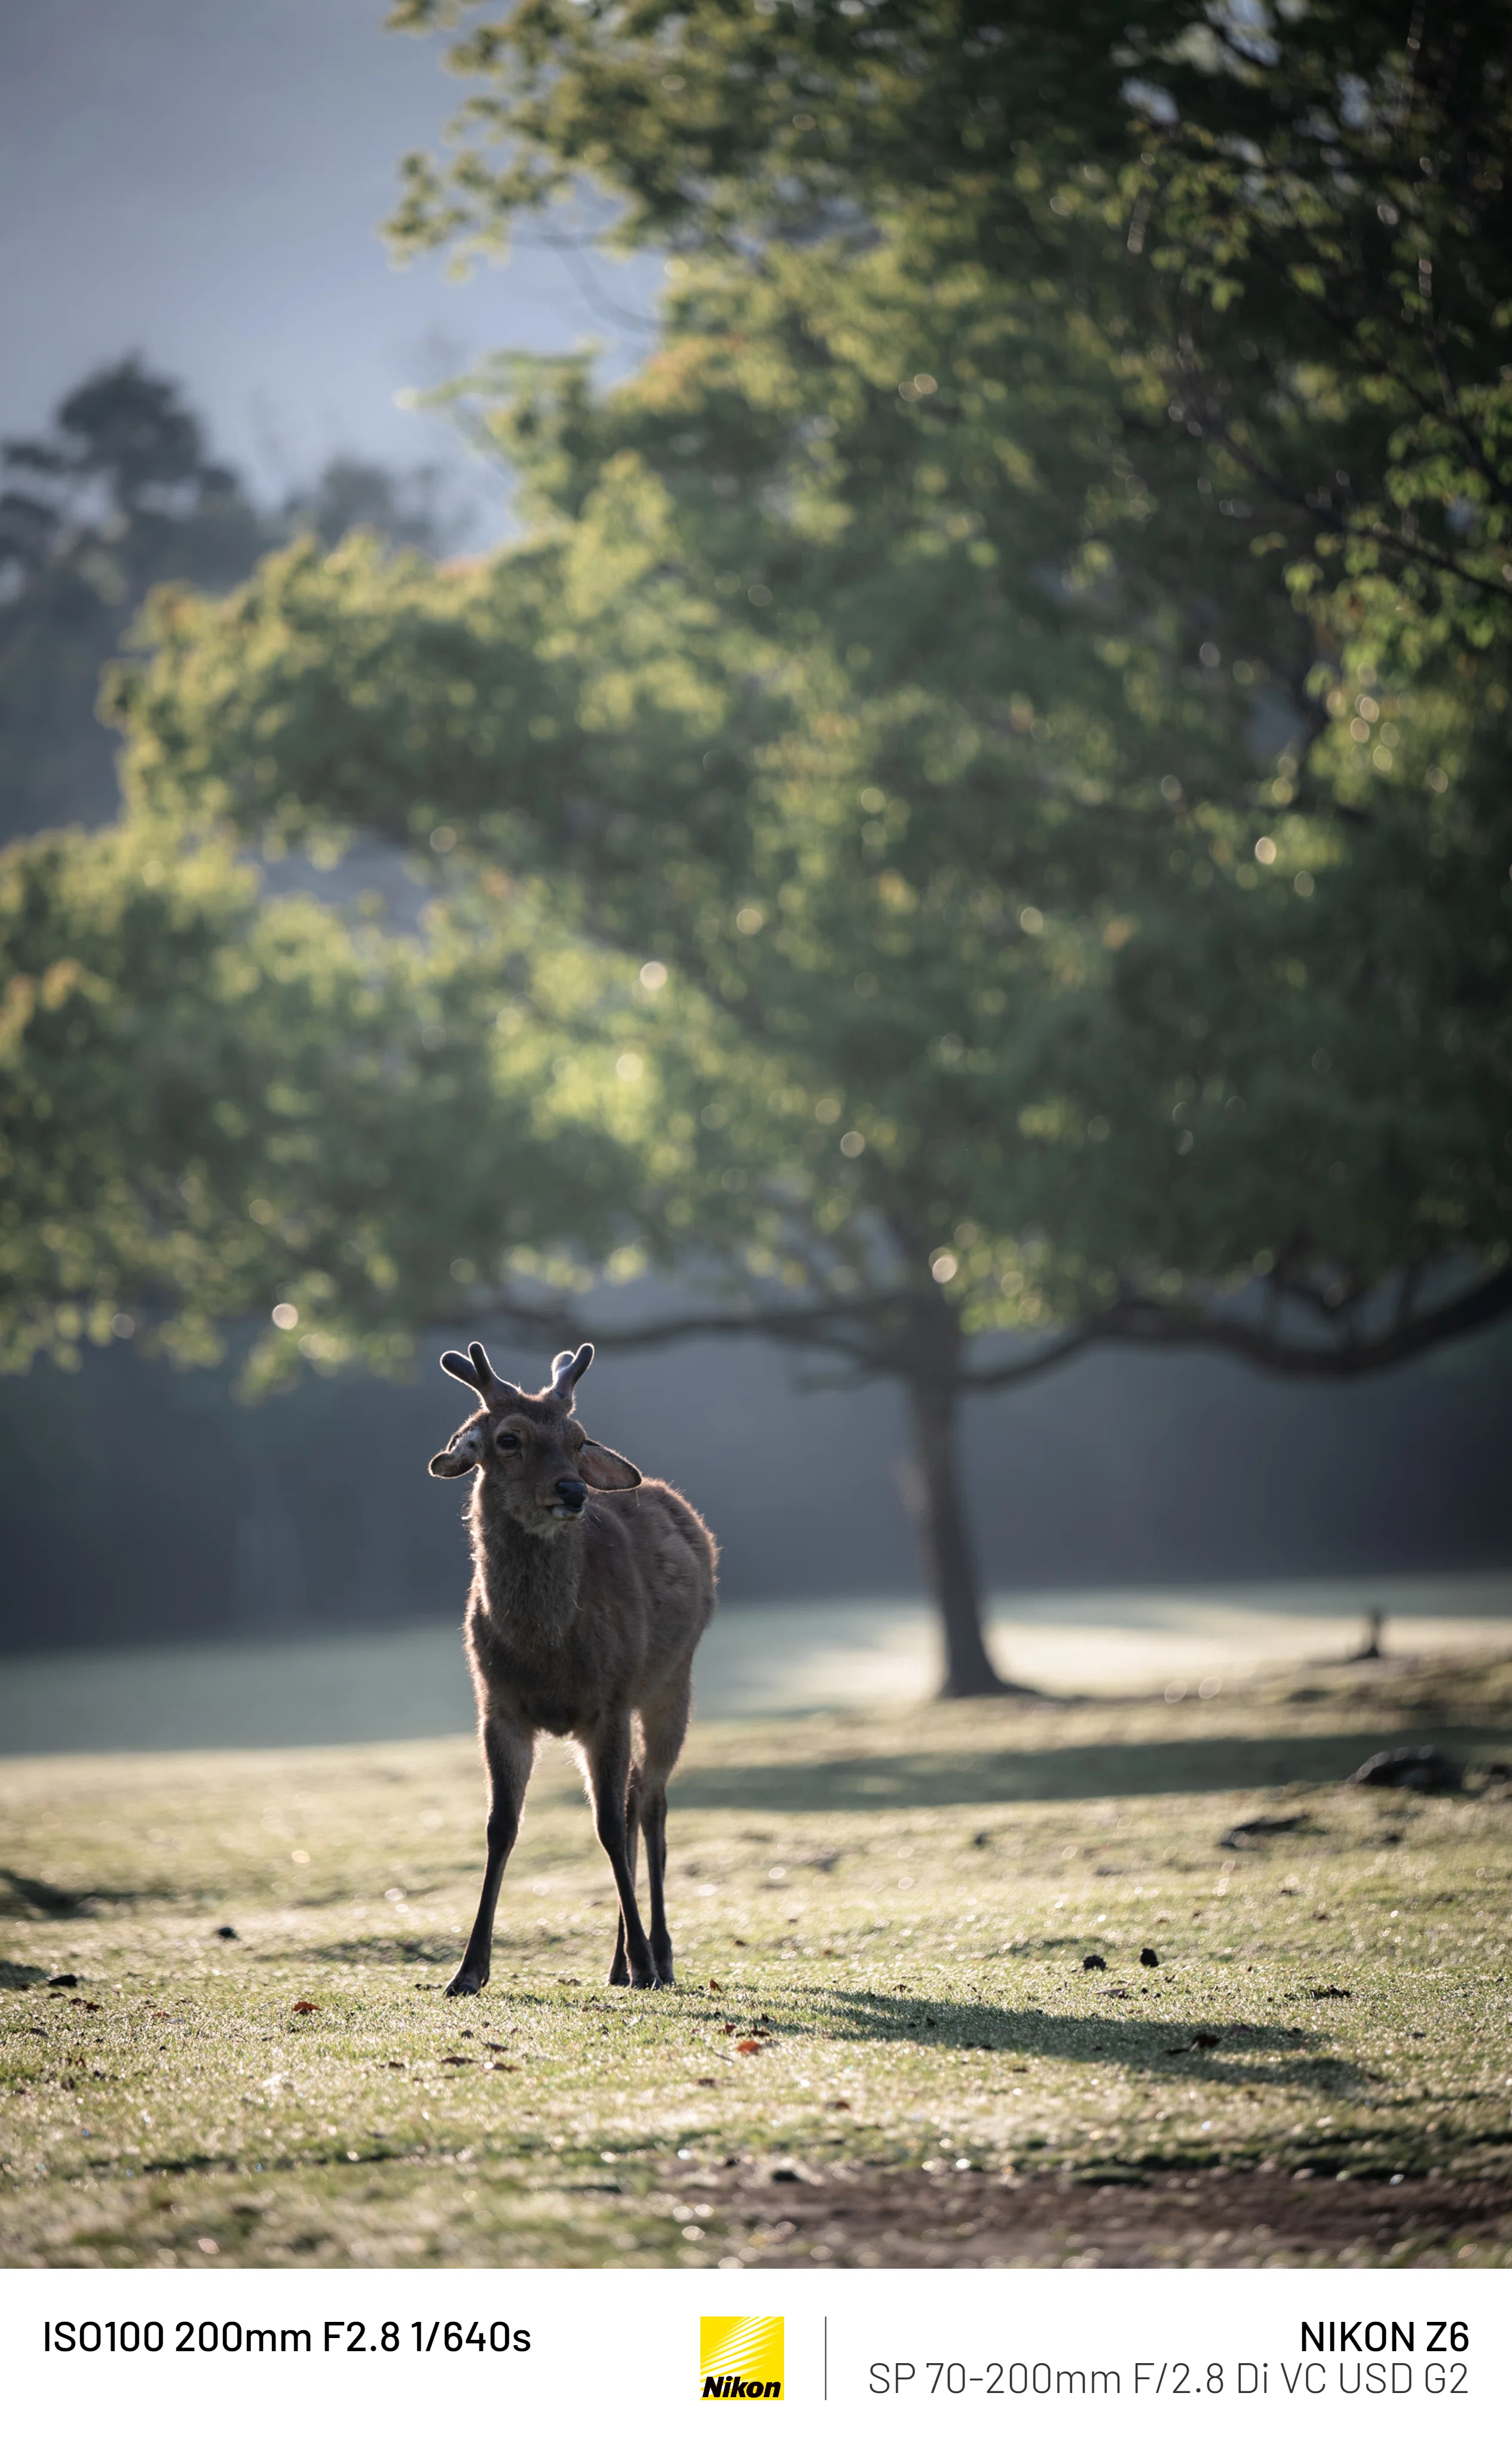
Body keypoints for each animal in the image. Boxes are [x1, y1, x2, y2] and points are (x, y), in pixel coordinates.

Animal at [427, 1338, 717, 1995]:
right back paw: (619, 1964)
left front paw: (645, 1961)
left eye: (579, 1439)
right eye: (508, 1438)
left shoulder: (607, 1702)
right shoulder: (498, 1709)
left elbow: (608, 1824)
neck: (546, 1655)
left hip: (671, 1682)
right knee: (635, 1797)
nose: (574, 1491)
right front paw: (467, 1971)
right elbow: (500, 1826)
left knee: (649, 1802)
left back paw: (657, 1956)